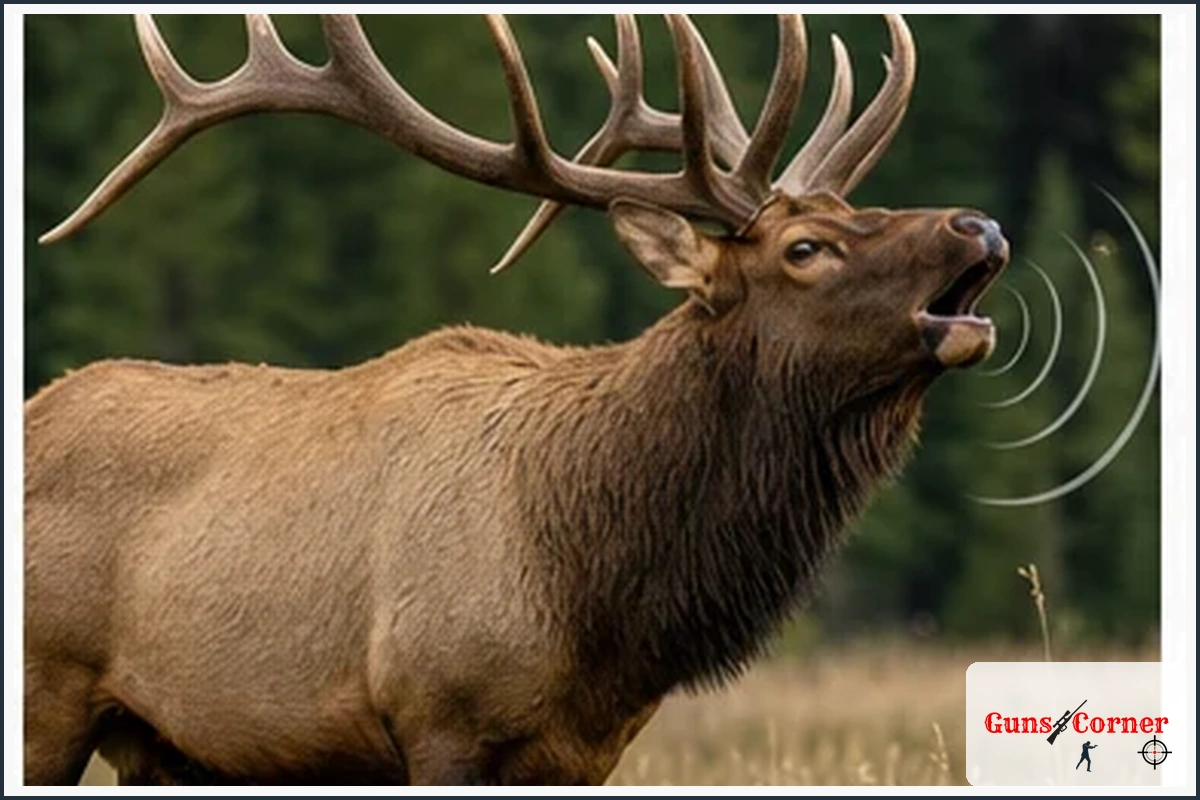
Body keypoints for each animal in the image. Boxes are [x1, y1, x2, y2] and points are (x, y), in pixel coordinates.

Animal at [25, 14, 1008, 785]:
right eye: (805, 248)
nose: (980, 223)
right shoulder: (442, 717)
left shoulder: (585, 755)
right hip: (46, 691)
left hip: (161, 744)